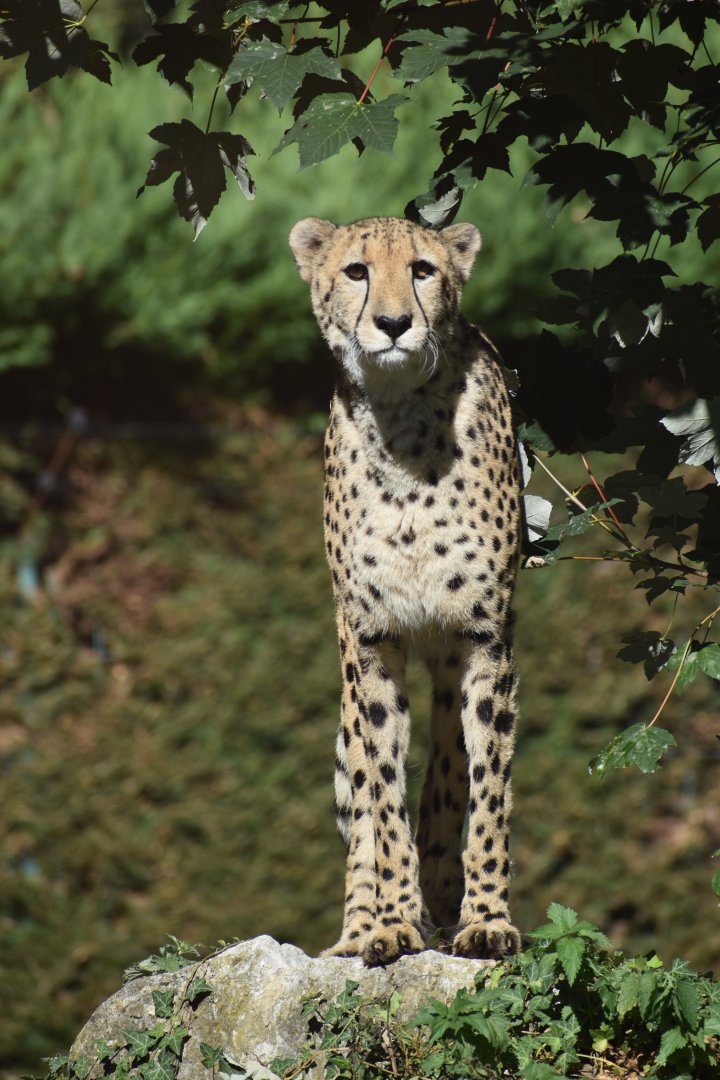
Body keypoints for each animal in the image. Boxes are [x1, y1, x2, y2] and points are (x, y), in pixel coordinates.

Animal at [289, 215, 522, 967]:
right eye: (357, 271)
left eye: (423, 270)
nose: (393, 324)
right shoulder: (369, 643)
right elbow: (380, 790)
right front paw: (389, 923)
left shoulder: (483, 639)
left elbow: (486, 790)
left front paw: (486, 918)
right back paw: (364, 925)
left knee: (449, 773)